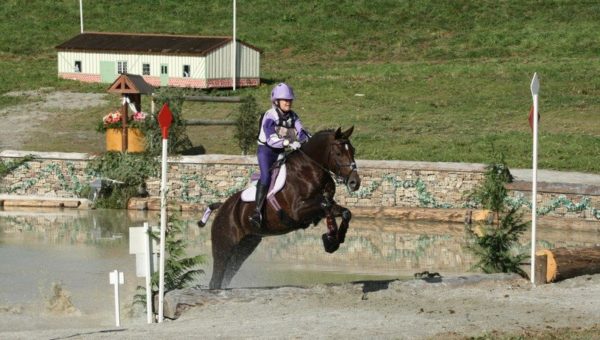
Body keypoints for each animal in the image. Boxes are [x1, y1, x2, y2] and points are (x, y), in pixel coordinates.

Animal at [200, 127, 360, 290]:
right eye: (338, 153)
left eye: (353, 150)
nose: (355, 183)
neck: (310, 170)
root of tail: (222, 207)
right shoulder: (297, 211)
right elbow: (325, 205)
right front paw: (330, 238)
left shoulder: (322, 206)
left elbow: (345, 212)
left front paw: (336, 240)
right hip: (223, 247)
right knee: (216, 278)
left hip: (245, 247)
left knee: (227, 275)